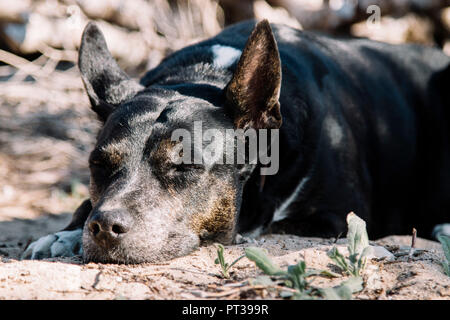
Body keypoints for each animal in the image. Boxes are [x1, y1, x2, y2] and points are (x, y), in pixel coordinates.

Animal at [22, 19, 450, 262]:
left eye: (185, 166)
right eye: (98, 165)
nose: (103, 227)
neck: (205, 74)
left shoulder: (337, 215)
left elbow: (274, 228)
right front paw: (64, 233)